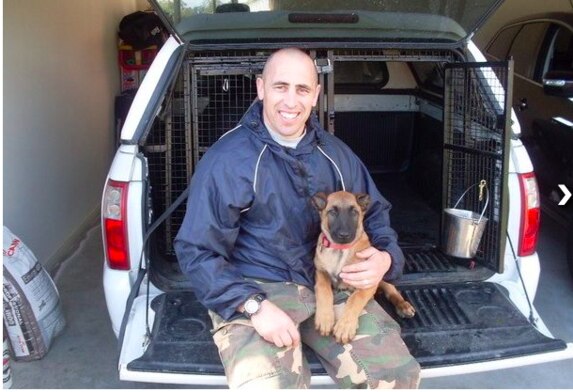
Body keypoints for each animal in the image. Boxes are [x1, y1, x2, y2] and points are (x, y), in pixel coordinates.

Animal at [310, 191, 414, 344]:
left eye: (354, 212)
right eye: (332, 212)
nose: (344, 235)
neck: (340, 250)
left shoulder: (367, 280)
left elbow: (355, 299)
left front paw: (345, 326)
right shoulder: (321, 272)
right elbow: (323, 289)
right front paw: (325, 318)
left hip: (382, 275)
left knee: (392, 291)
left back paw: (403, 305)